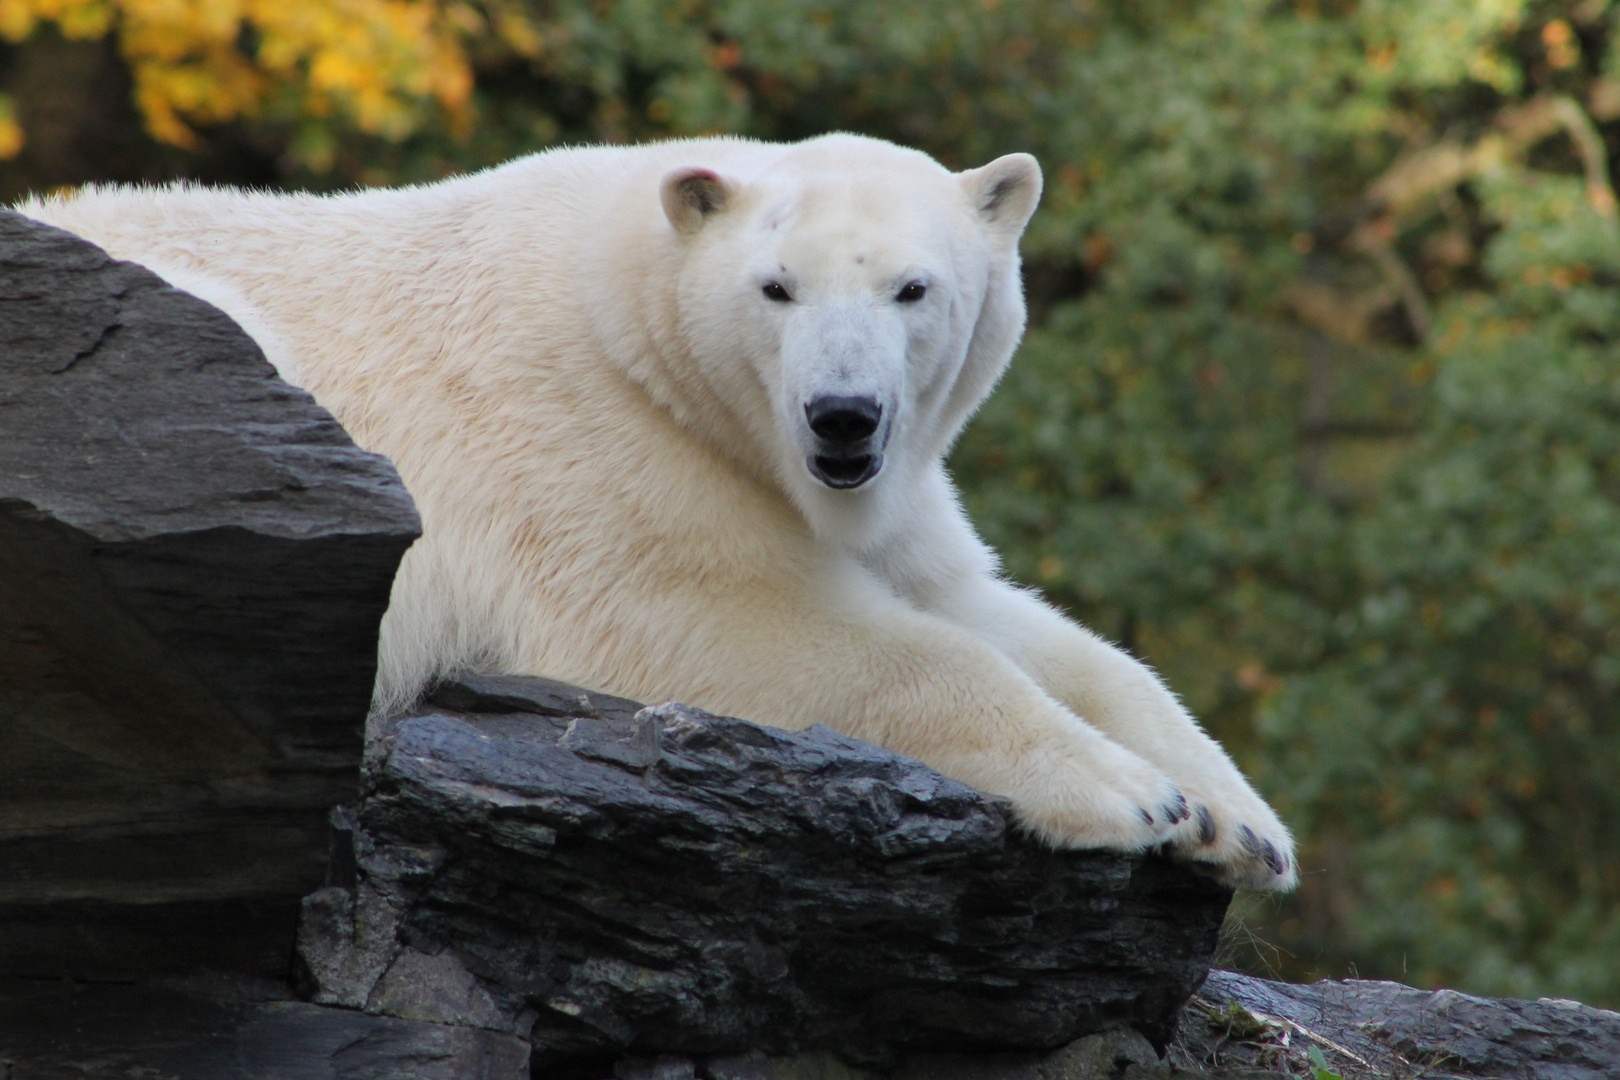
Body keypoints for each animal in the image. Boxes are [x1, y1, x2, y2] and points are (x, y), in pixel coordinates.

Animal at [22, 132, 1289, 887]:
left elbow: (1013, 620)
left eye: (912, 288)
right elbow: (728, 626)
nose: (842, 416)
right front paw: (1134, 797)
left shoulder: (895, 504)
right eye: (776, 288)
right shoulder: (599, 451)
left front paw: (1237, 819)